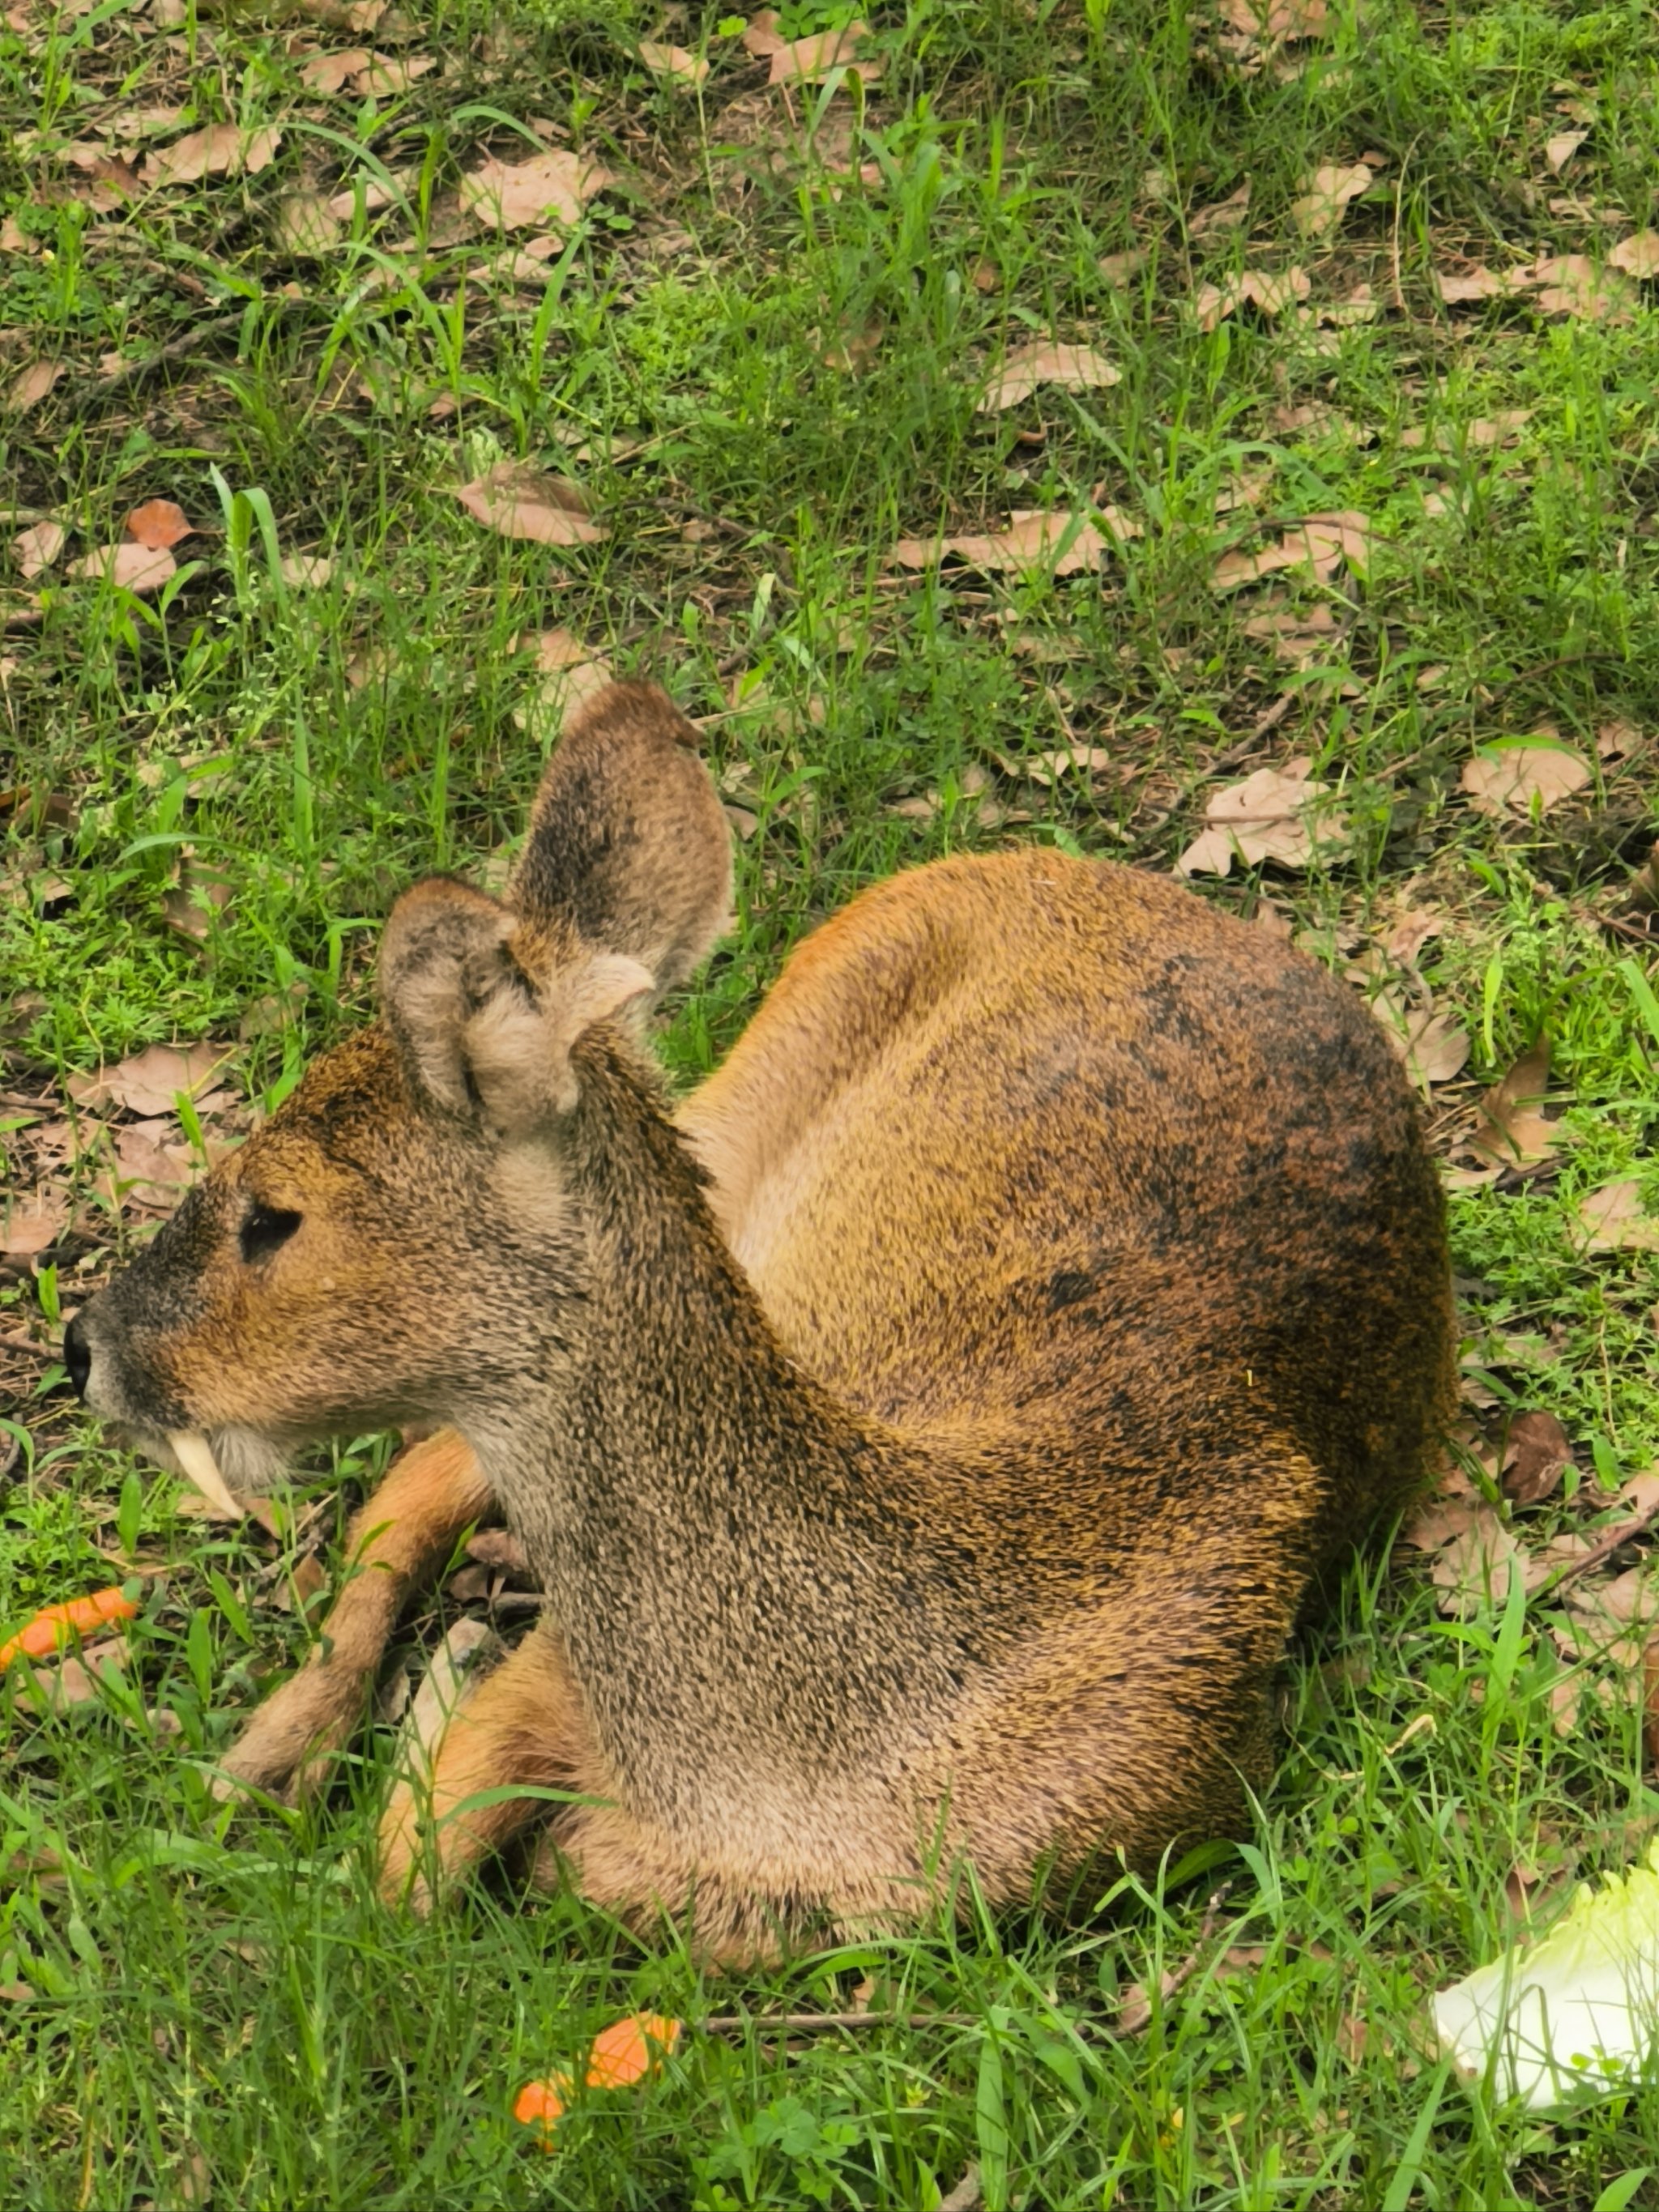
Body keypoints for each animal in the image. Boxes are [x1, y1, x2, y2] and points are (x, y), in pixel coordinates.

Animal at [65, 681, 1451, 1964]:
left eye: (274, 1214)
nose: (88, 1340)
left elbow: (540, 1872)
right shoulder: (566, 1667)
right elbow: (429, 1859)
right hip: (737, 1107)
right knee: (416, 1479)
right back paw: (272, 1748)